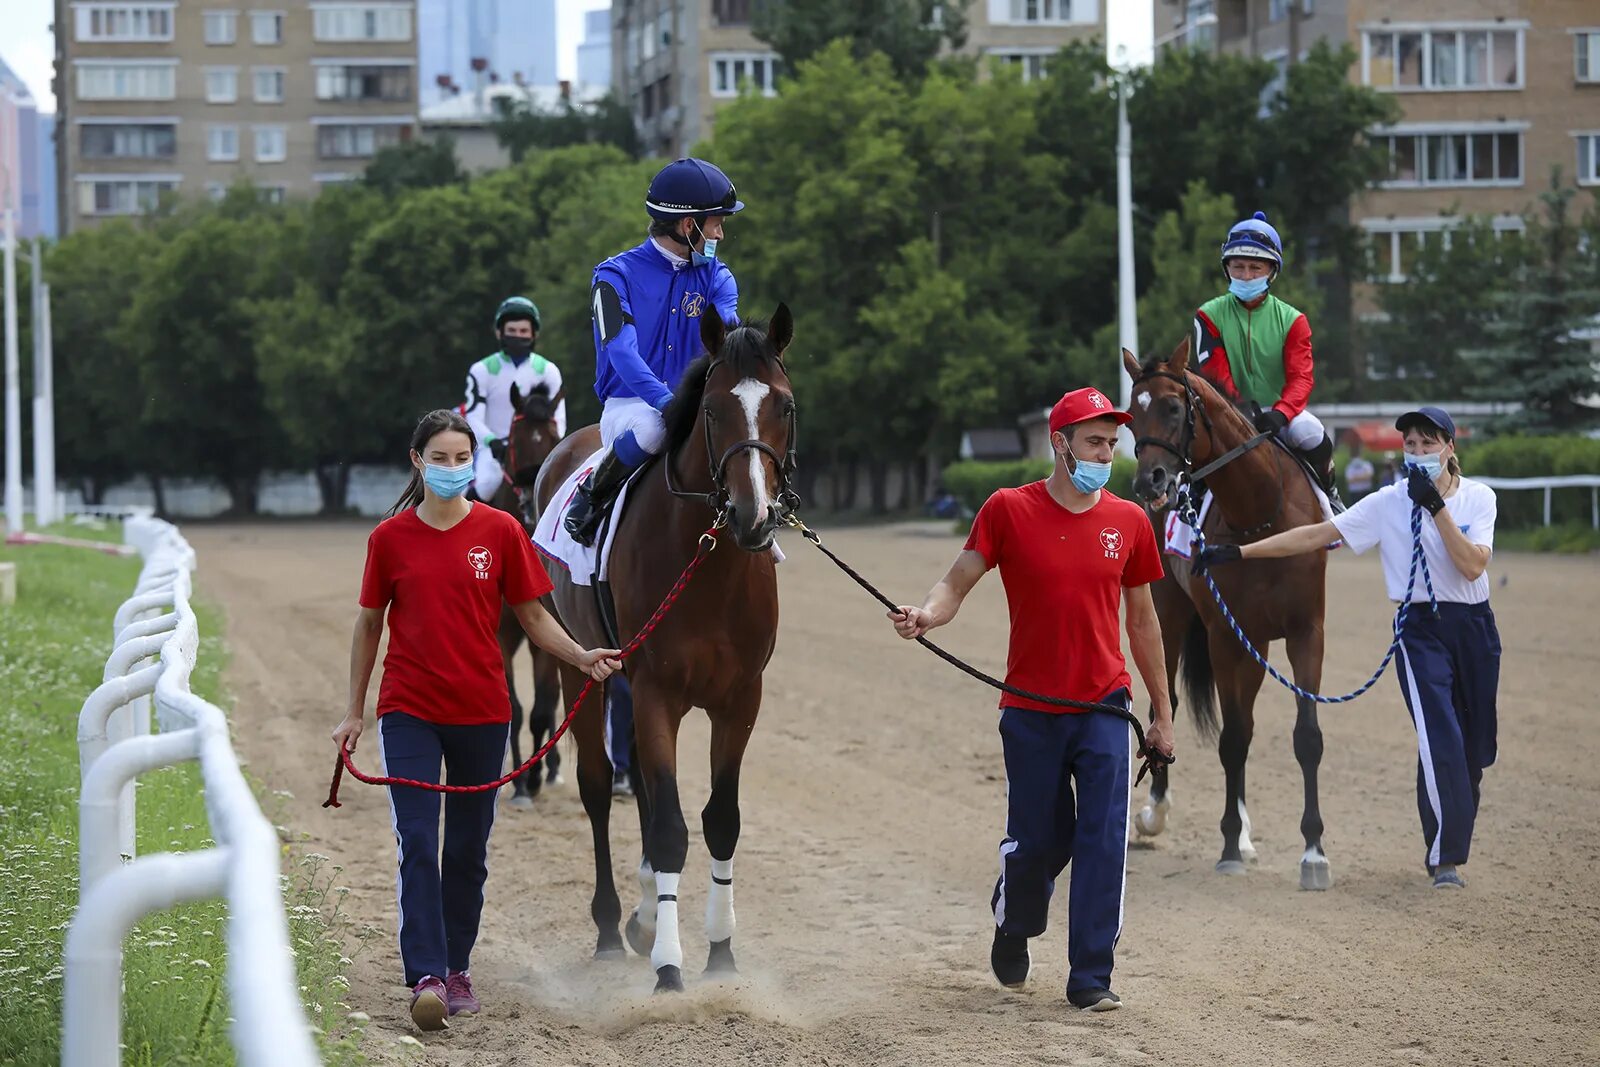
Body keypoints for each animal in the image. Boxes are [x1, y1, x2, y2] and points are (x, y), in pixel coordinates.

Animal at [531, 302, 793, 991]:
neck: (709, 566)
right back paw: (609, 926)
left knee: (644, 794)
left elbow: (719, 820)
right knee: (600, 786)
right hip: (580, 665)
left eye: (784, 405)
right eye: (713, 410)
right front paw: (670, 968)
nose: (755, 517)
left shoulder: (740, 699)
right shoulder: (657, 691)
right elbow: (671, 826)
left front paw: (720, 952)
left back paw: (645, 916)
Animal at [1126, 342, 1337, 895]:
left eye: (1172, 407)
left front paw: (1313, 853)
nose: (1149, 481)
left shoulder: (1305, 633)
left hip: (1256, 646)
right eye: (1130, 413)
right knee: (1168, 703)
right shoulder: (1224, 637)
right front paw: (1227, 846)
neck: (1262, 519)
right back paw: (1156, 815)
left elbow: (1306, 738)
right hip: (1170, 618)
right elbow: (1232, 740)